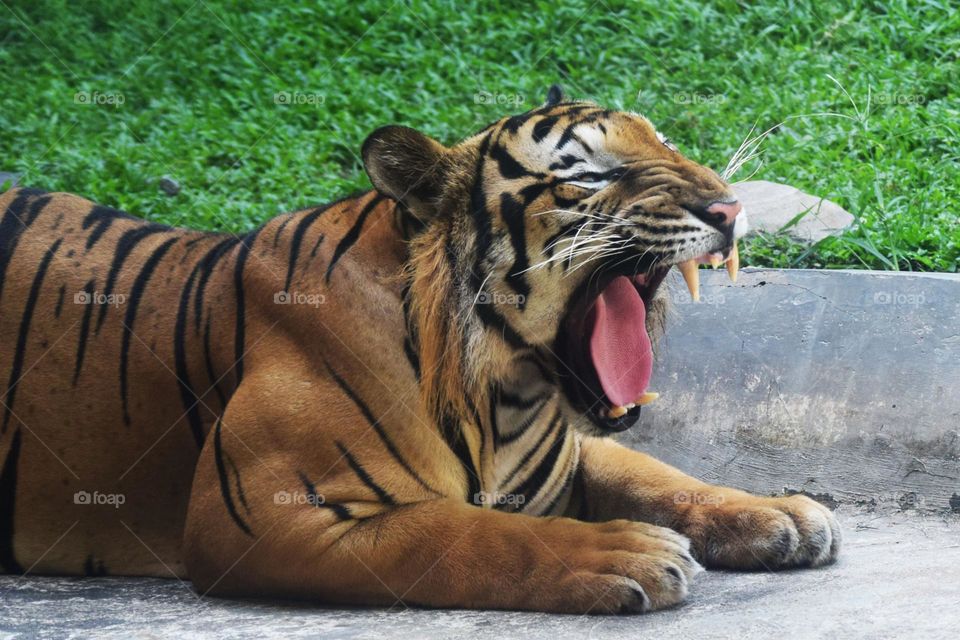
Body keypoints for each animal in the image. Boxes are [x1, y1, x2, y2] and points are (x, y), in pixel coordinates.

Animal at [0, 86, 839, 614]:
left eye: (665, 140)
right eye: (592, 173)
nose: (728, 208)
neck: (510, 392)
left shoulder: (577, 451)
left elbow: (657, 473)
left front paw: (781, 513)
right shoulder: (258, 516)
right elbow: (468, 533)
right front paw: (623, 553)